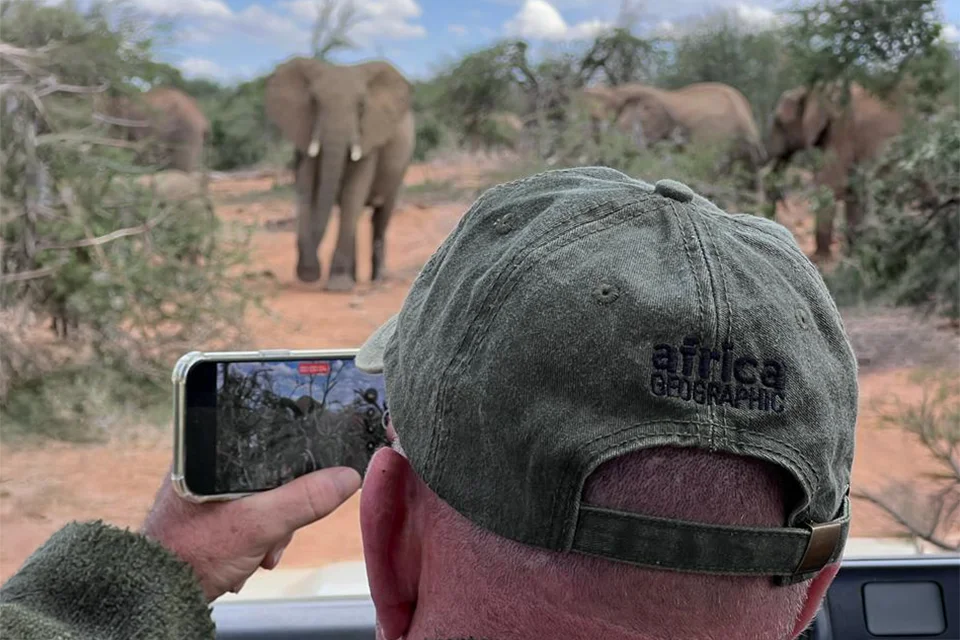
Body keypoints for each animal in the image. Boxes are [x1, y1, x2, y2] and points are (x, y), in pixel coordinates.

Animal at [264, 57, 415, 290]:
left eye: (361, 105)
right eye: (314, 102)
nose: (309, 273)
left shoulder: (369, 137)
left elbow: (353, 191)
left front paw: (338, 286)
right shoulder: (304, 130)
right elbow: (306, 188)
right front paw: (329, 279)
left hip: (399, 170)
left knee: (380, 216)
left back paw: (377, 279)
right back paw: (355, 278)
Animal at [766, 83, 903, 258]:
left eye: (779, 123)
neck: (811, 90)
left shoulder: (841, 130)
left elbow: (831, 185)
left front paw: (820, 257)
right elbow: (851, 192)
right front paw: (853, 253)